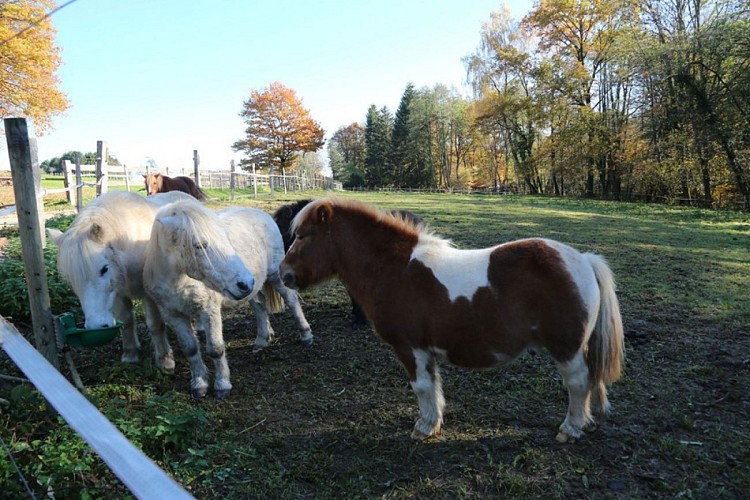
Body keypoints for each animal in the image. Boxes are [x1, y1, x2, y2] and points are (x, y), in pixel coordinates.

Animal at [47, 191, 177, 372]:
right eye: (72, 279)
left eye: (104, 269)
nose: (96, 326)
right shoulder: (118, 293)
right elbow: (127, 321)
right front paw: (131, 354)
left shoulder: (148, 294)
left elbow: (155, 324)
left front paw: (165, 360)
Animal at [143, 199, 313, 399]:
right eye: (199, 245)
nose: (245, 282)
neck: (179, 280)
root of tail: (263, 214)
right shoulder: (174, 315)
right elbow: (190, 348)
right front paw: (199, 384)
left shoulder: (209, 311)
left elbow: (216, 349)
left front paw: (222, 385)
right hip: (254, 288)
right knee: (260, 306)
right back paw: (262, 340)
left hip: (274, 276)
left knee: (292, 301)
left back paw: (306, 335)